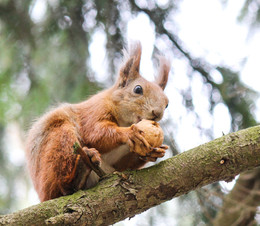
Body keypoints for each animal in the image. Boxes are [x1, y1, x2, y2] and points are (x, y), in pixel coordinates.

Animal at [24, 42, 171, 201]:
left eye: (167, 104)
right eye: (138, 89)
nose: (157, 114)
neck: (124, 121)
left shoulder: (118, 162)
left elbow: (123, 166)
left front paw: (153, 153)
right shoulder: (94, 110)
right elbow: (94, 133)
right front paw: (130, 133)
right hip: (59, 141)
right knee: (61, 187)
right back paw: (78, 173)